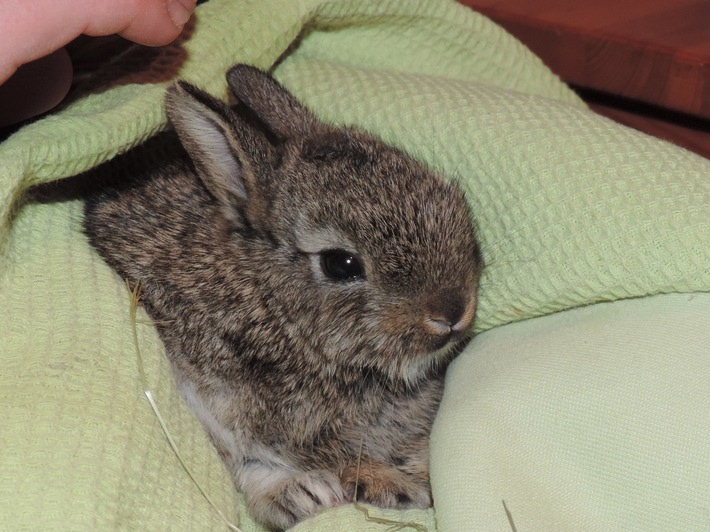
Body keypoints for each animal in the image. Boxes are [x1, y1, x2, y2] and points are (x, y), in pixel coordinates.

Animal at [83, 64, 482, 531]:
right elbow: (250, 461)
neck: (275, 310)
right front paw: (332, 491)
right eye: (340, 264)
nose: (453, 310)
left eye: (447, 196)